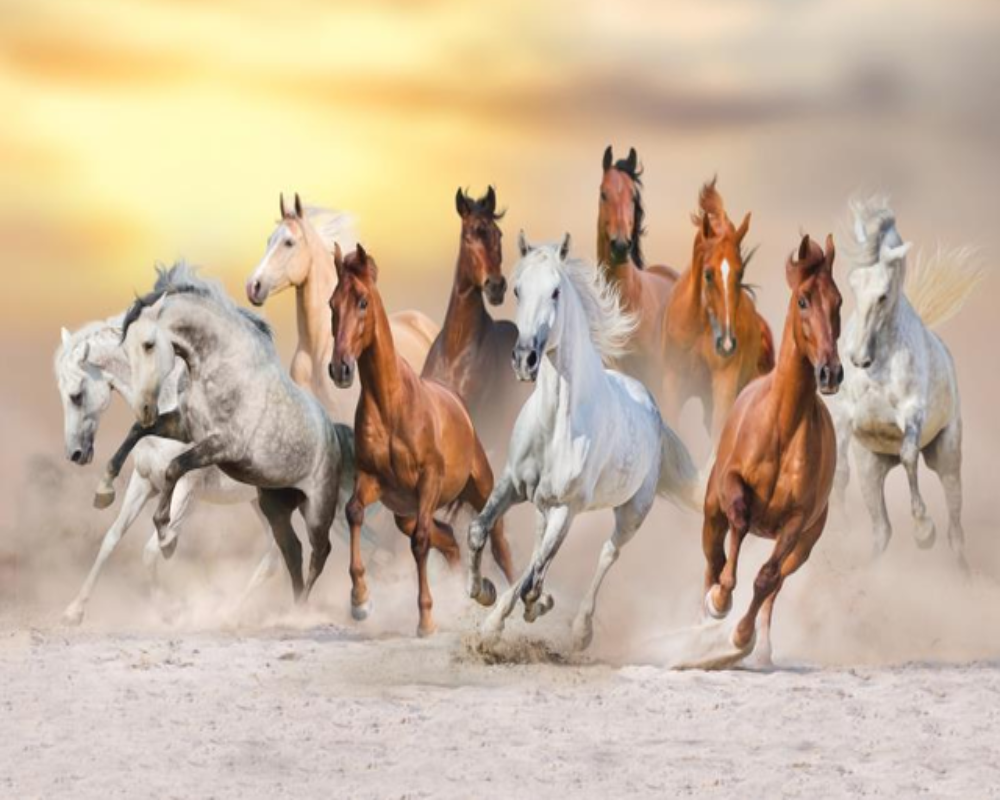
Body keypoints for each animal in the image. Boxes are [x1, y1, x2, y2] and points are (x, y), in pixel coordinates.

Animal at [121, 263, 354, 602]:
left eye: (148, 345)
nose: (143, 406)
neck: (219, 368)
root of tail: (335, 433)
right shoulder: (187, 428)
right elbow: (138, 433)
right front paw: (104, 487)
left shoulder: (222, 445)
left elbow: (173, 468)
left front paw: (166, 537)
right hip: (273, 505)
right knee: (292, 550)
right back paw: (291, 605)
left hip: (317, 509)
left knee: (319, 552)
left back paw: (302, 607)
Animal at [328, 243, 516, 636]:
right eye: (331, 304)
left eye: (363, 301)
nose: (340, 369)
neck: (391, 405)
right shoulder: (372, 480)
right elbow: (354, 512)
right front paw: (360, 601)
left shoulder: (428, 482)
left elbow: (420, 544)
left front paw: (426, 619)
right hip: (406, 513)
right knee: (452, 543)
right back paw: (476, 595)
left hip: (479, 490)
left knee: (499, 546)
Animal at [466, 233, 698, 649]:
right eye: (518, 289)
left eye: (556, 291)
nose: (524, 359)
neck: (556, 424)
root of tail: (651, 404)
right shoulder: (512, 483)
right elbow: (479, 531)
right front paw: (484, 593)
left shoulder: (567, 507)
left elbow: (533, 578)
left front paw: (527, 610)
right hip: (543, 505)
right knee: (537, 553)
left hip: (632, 512)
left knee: (607, 553)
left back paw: (580, 630)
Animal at [699, 234, 842, 668]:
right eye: (803, 300)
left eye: (838, 301)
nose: (831, 372)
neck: (783, 424)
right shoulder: (731, 487)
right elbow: (739, 522)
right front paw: (720, 601)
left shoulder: (796, 523)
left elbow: (765, 578)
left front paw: (742, 638)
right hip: (710, 513)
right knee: (712, 557)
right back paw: (708, 612)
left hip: (805, 546)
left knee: (776, 583)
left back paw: (759, 647)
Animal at [831, 198, 982, 569]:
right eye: (852, 284)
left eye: (883, 296)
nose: (857, 359)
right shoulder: (844, 415)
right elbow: (839, 468)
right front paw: (838, 524)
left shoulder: (912, 414)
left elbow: (910, 455)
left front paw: (923, 530)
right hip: (872, 468)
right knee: (881, 530)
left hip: (947, 458)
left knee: (955, 530)